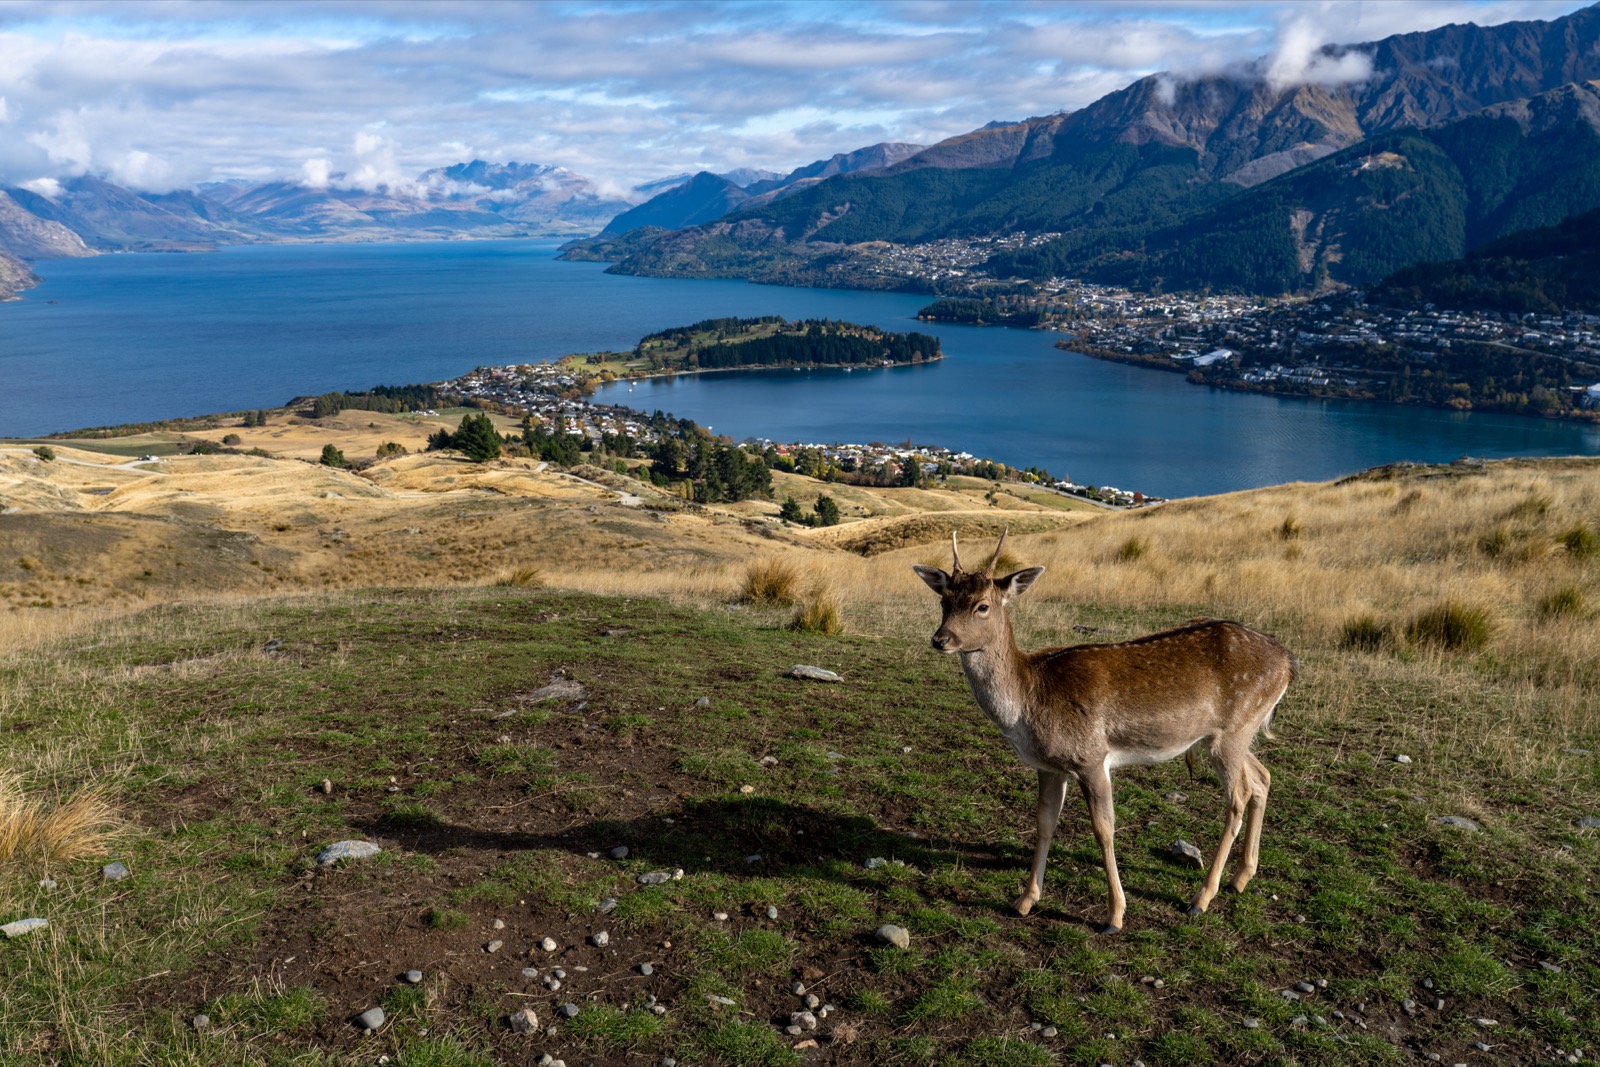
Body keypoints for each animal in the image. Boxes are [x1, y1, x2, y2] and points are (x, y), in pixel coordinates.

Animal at [913, 532, 1295, 934]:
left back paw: (1201, 898)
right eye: (944, 600)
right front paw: (1024, 901)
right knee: (1262, 777)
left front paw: (1114, 915)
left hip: (1232, 733)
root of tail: (1289, 662)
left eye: (983, 606)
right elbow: (1044, 823)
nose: (941, 639)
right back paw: (1241, 878)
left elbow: (1103, 828)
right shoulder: (1049, 766)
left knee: (1238, 796)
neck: (1029, 700)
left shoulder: (1091, 756)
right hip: (1231, 734)